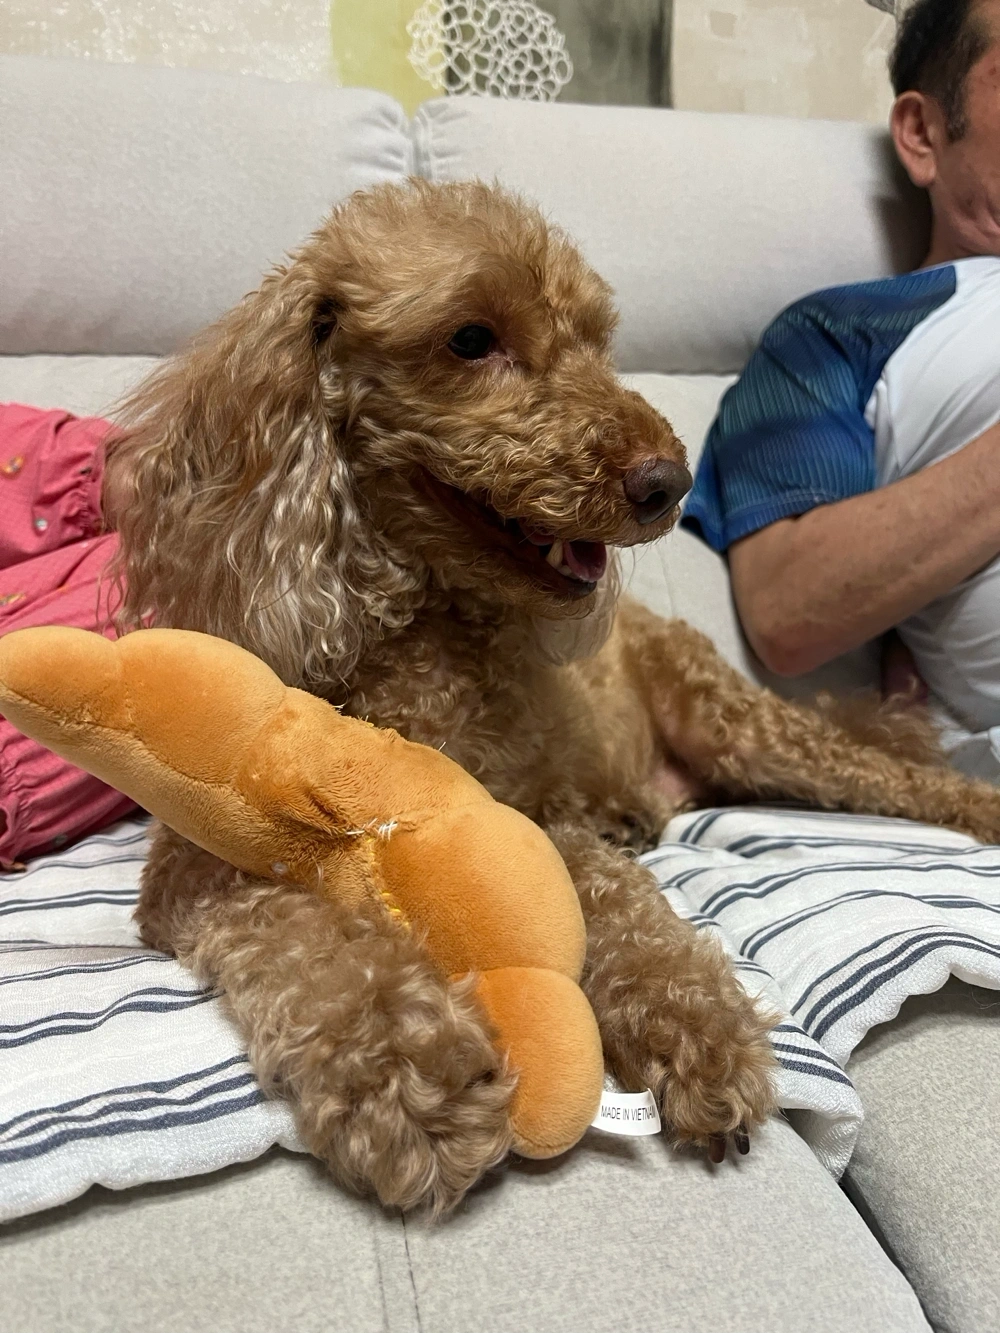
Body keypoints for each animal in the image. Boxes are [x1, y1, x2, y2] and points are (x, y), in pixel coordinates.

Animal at [104, 179, 1000, 1214]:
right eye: (470, 339)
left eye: (596, 341)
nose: (668, 483)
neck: (414, 635)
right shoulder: (198, 866)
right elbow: (300, 939)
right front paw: (416, 1076)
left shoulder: (516, 815)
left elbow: (608, 903)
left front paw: (699, 1030)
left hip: (740, 725)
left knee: (893, 775)